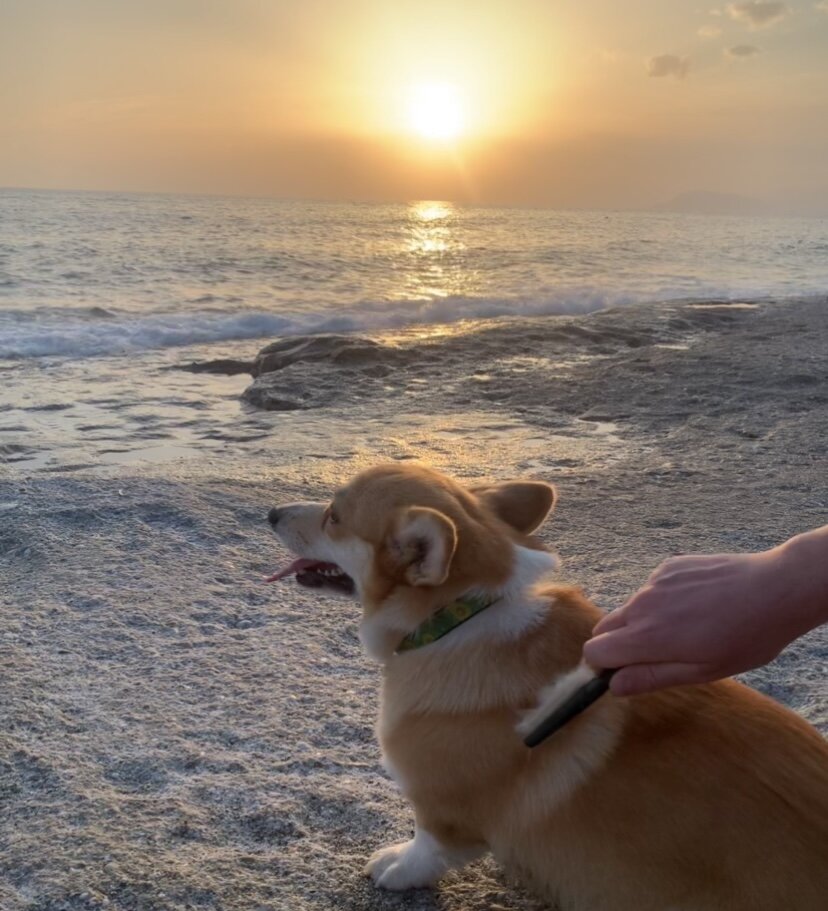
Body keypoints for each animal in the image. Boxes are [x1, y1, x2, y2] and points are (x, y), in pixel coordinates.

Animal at [266, 464, 828, 911]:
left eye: (334, 516)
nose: (270, 512)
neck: (461, 614)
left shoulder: (442, 808)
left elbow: (428, 846)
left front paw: (396, 868)